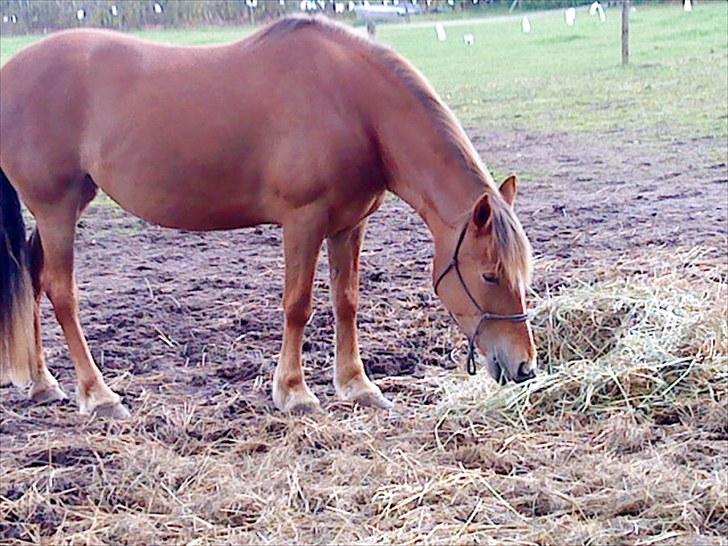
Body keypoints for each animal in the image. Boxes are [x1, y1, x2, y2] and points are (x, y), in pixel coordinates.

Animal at [0, 17, 536, 416]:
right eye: (490, 275)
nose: (524, 368)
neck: (354, 105)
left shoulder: (349, 224)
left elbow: (346, 301)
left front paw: (357, 386)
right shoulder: (303, 222)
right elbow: (298, 304)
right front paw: (295, 392)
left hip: (63, 207)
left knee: (33, 280)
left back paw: (44, 384)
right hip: (56, 208)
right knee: (61, 292)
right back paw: (98, 395)